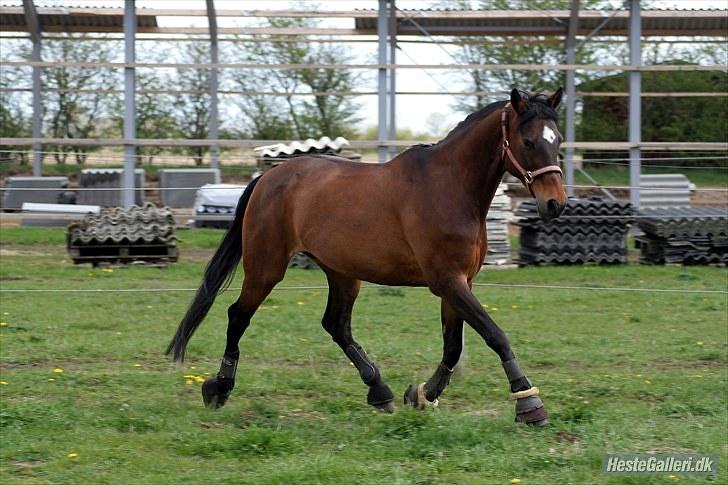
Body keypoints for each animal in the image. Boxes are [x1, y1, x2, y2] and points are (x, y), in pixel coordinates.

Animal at [169, 89, 568, 426]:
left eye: (558, 140)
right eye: (528, 141)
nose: (555, 204)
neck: (449, 187)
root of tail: (268, 179)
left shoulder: (460, 282)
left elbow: (454, 347)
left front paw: (422, 395)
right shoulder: (447, 281)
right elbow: (495, 335)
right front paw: (529, 404)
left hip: (342, 272)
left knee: (336, 325)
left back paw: (379, 390)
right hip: (266, 268)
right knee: (238, 316)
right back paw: (219, 388)